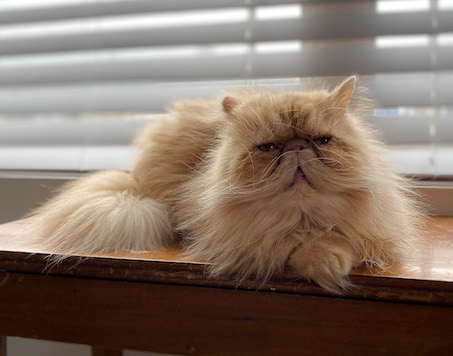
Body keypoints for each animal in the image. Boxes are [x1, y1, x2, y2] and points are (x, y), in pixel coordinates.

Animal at [30, 78, 422, 292]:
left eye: (321, 141)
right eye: (269, 148)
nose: (296, 147)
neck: (302, 215)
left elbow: (343, 238)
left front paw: (332, 258)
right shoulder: (259, 237)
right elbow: (297, 245)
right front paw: (325, 262)